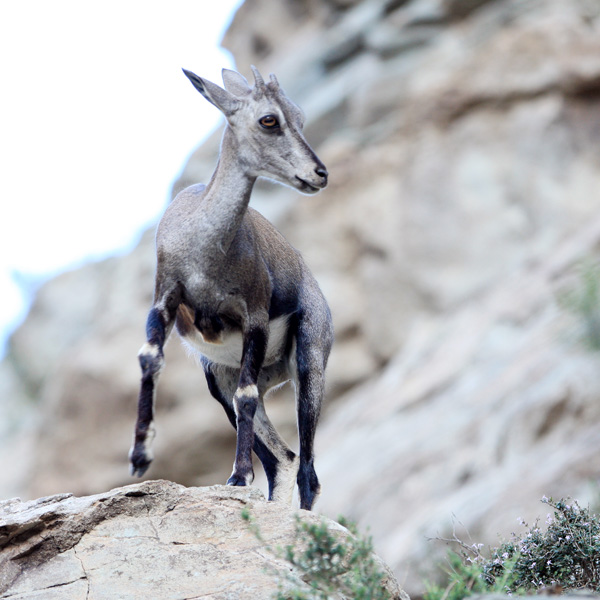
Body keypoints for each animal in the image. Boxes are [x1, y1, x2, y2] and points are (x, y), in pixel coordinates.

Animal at [129, 69, 332, 510]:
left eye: (300, 116)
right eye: (269, 120)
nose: (319, 174)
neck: (206, 248)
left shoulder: (253, 315)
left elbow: (247, 396)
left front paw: (238, 477)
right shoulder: (165, 298)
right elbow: (150, 358)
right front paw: (139, 455)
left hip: (309, 362)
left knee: (308, 470)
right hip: (217, 376)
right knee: (283, 459)